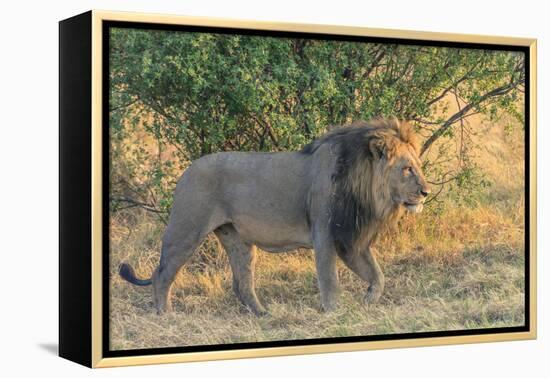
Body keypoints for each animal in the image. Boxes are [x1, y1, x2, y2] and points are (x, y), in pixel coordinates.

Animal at [119, 117, 432, 314]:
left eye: (418, 165)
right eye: (407, 169)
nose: (426, 191)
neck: (365, 188)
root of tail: (185, 171)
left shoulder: (350, 238)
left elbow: (378, 275)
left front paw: (368, 301)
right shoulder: (326, 233)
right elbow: (329, 279)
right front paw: (334, 312)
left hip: (237, 240)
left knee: (241, 284)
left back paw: (263, 314)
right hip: (187, 230)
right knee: (162, 274)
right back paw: (166, 314)